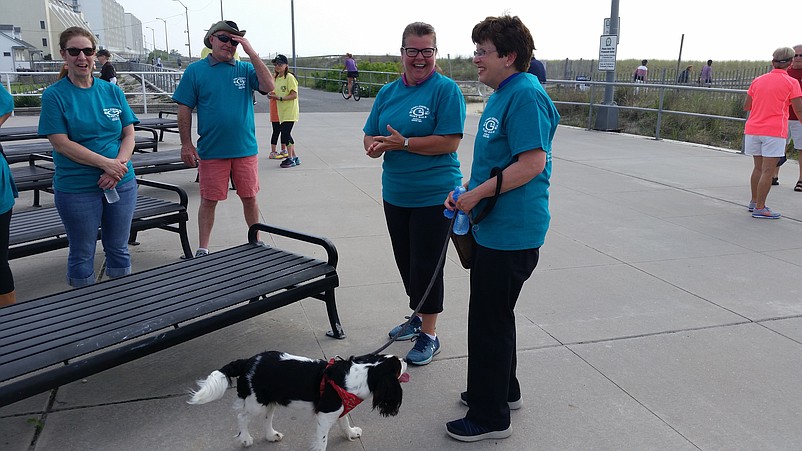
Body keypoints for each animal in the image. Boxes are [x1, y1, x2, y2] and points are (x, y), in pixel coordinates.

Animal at [188, 354, 406, 451]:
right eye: (397, 366)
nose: (405, 360)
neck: (362, 374)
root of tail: (248, 361)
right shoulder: (325, 414)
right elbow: (322, 440)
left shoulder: (339, 408)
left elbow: (344, 422)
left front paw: (351, 433)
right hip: (256, 402)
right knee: (242, 417)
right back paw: (245, 439)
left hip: (269, 401)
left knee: (267, 419)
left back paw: (271, 436)